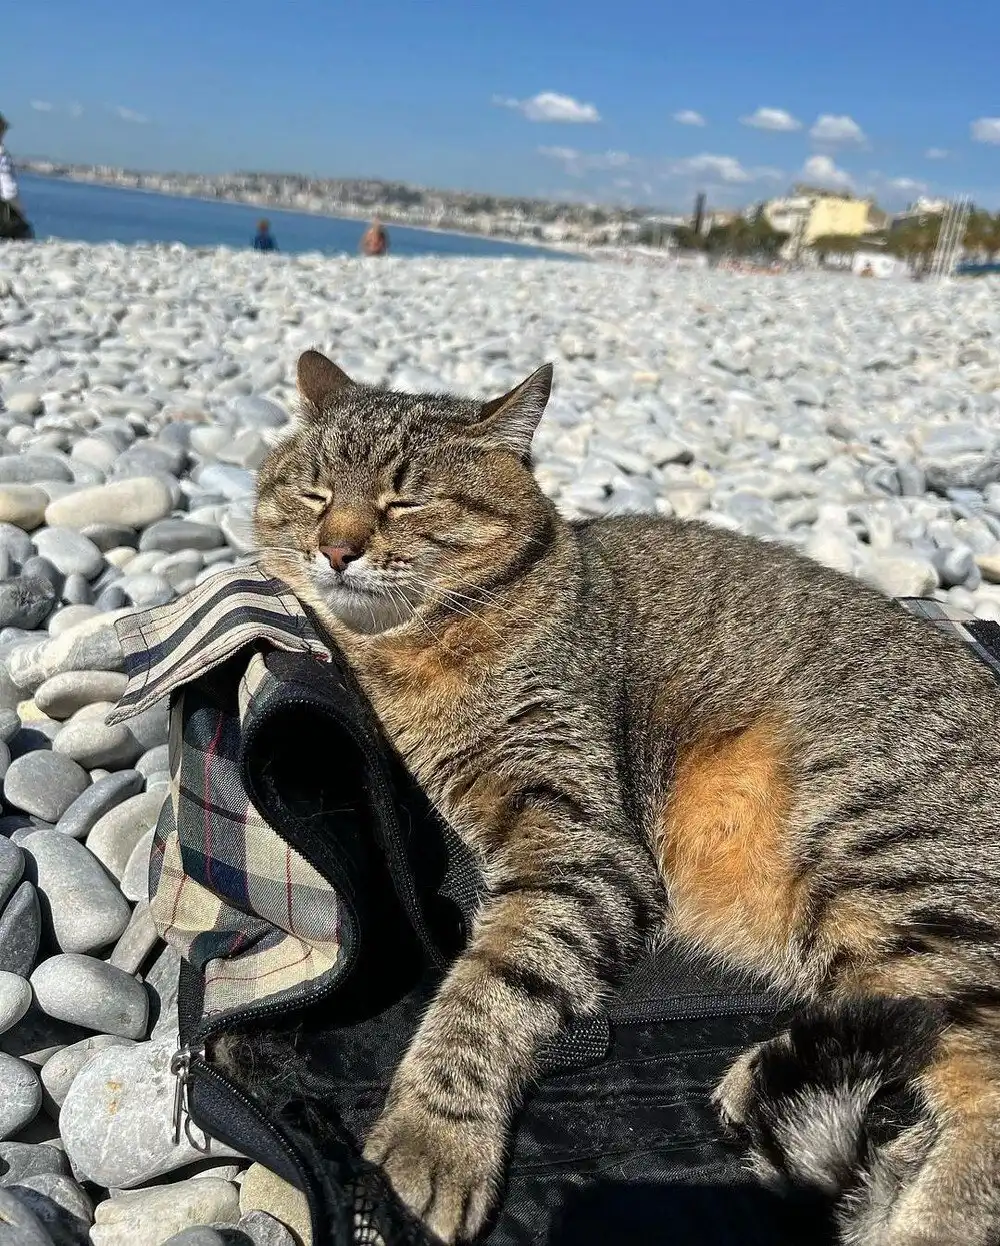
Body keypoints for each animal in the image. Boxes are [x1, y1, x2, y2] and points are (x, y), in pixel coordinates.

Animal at [255, 348, 1000, 1246]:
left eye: (407, 498)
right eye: (315, 493)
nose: (336, 548)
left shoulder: (579, 845)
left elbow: (485, 991)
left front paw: (432, 1135)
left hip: (881, 857)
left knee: (985, 1089)